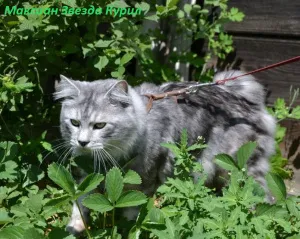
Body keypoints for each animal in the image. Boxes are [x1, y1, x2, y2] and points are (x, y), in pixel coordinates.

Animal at [54, 71, 276, 235]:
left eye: (100, 125)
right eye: (75, 122)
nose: (82, 142)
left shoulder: (144, 183)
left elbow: (131, 219)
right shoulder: (88, 176)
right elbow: (80, 203)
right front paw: (74, 228)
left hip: (239, 172)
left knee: (264, 199)